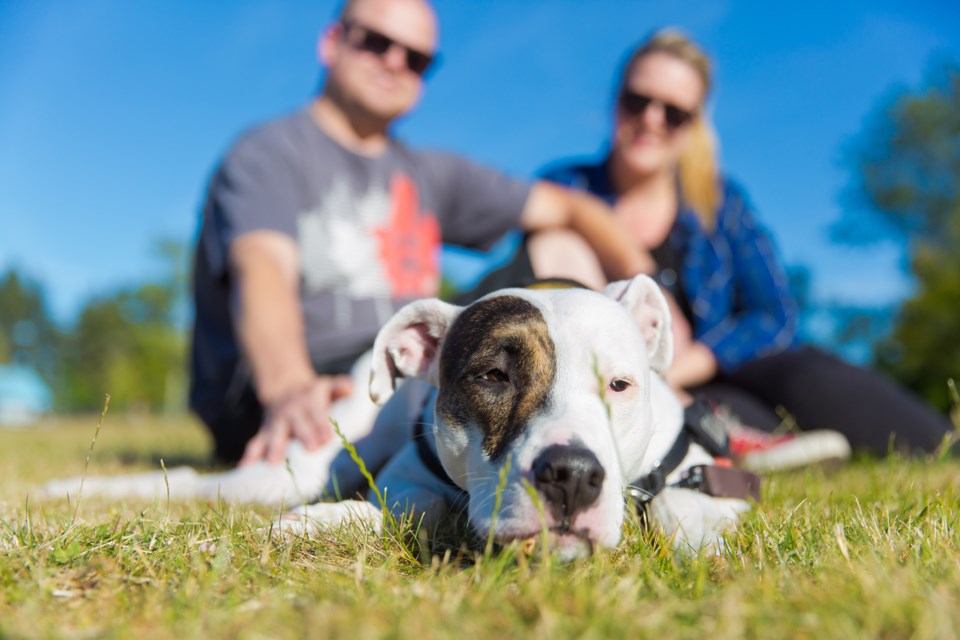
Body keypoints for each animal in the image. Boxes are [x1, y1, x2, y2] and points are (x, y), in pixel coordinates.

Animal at [41, 276, 752, 560]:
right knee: (201, 483)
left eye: (620, 385)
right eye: (493, 377)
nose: (573, 475)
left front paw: (704, 546)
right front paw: (322, 523)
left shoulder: (695, 469)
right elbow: (414, 503)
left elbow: (682, 503)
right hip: (294, 468)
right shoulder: (411, 478)